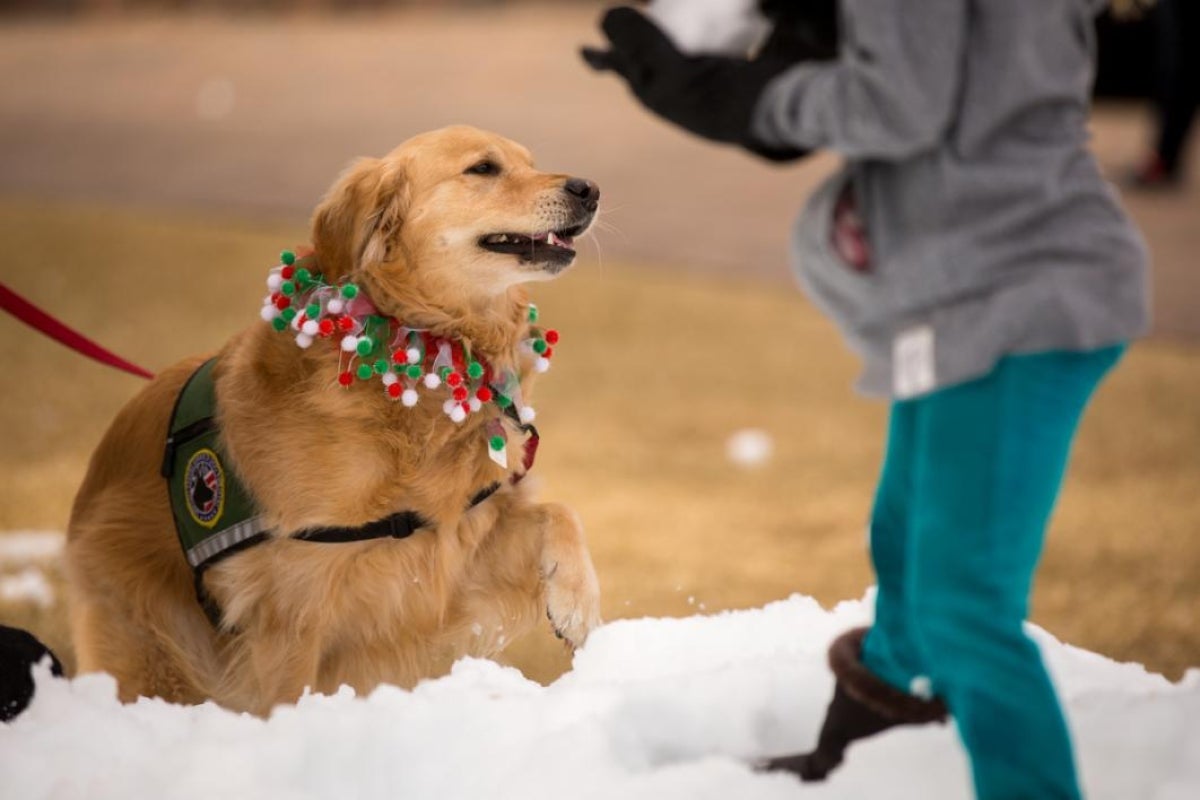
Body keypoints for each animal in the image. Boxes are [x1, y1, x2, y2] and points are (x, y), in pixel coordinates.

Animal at [63, 126, 600, 719]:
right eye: (483, 168)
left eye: (530, 161)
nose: (589, 189)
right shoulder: (291, 607)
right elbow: (288, 695)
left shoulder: (449, 549)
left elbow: (559, 511)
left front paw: (577, 604)